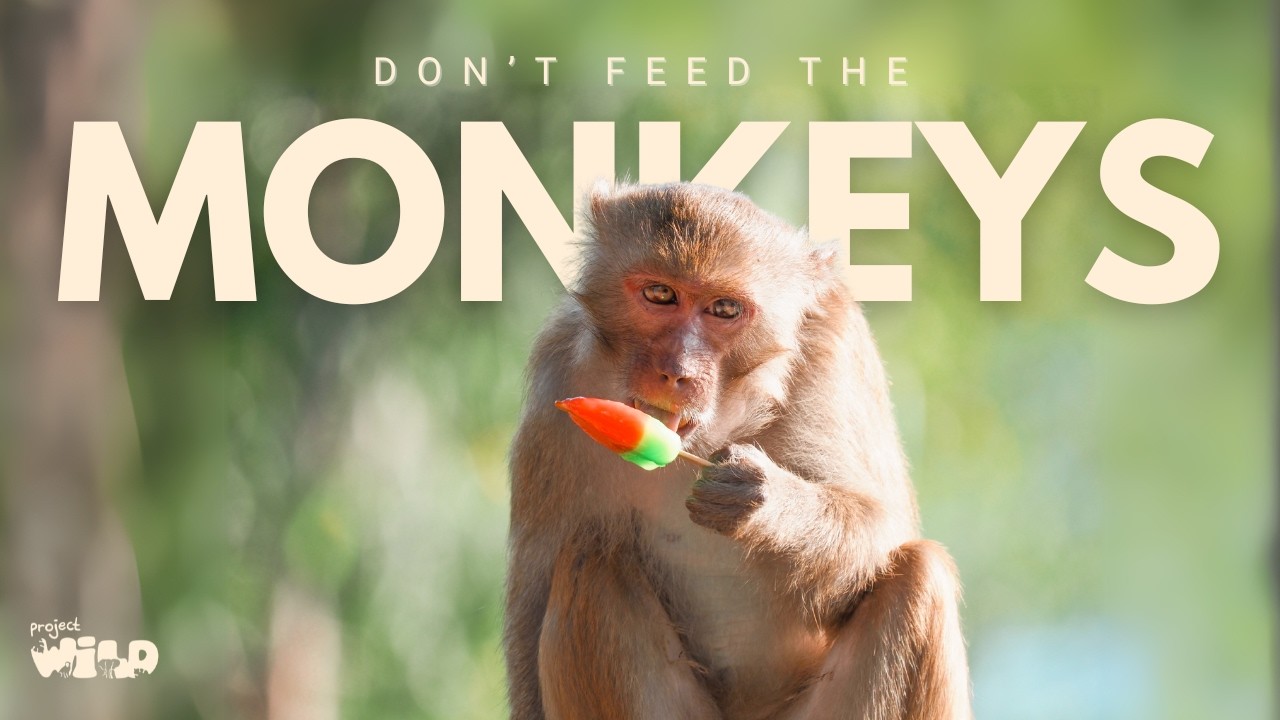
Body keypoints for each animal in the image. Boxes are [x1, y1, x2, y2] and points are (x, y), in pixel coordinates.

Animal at [506, 182, 971, 720]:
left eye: (725, 310)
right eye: (660, 294)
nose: (677, 370)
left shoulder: (833, 345)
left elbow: (882, 525)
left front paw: (759, 500)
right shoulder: (556, 378)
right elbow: (533, 594)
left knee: (918, 572)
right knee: (589, 559)